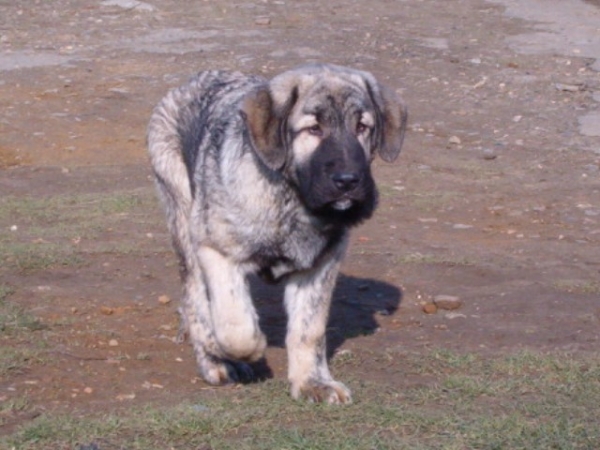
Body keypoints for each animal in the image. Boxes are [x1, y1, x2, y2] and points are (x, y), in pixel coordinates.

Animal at [147, 63, 408, 404]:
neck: (292, 201)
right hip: (183, 215)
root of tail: (189, 83)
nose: (349, 180)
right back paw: (215, 360)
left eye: (362, 127)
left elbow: (309, 330)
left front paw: (312, 382)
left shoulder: (320, 264)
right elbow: (234, 324)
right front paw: (240, 349)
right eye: (313, 129)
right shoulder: (215, 248)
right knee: (196, 298)